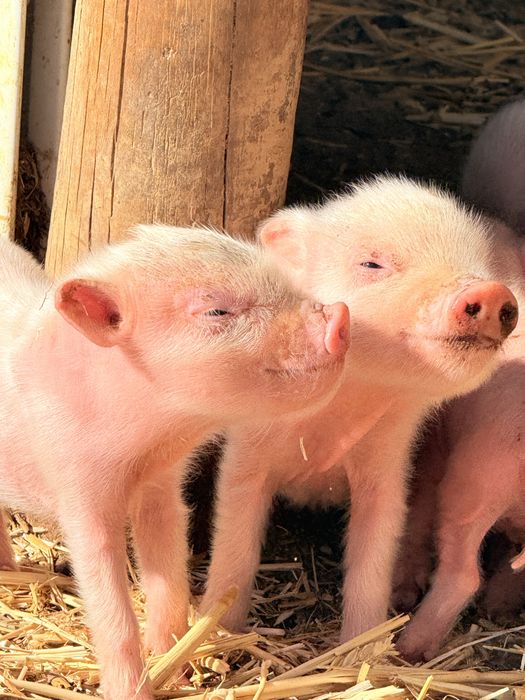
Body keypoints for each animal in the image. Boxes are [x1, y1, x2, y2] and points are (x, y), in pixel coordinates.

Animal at [0, 227, 349, 700]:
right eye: (216, 309)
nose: (340, 314)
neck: (146, 446)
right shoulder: (77, 488)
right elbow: (111, 608)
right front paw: (133, 692)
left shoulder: (162, 488)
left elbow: (170, 574)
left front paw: (179, 672)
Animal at [200, 175, 520, 643]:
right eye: (372, 264)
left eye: (480, 264)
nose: (491, 290)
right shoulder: (246, 453)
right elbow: (235, 542)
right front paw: (218, 634)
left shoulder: (386, 465)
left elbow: (375, 554)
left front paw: (362, 643)